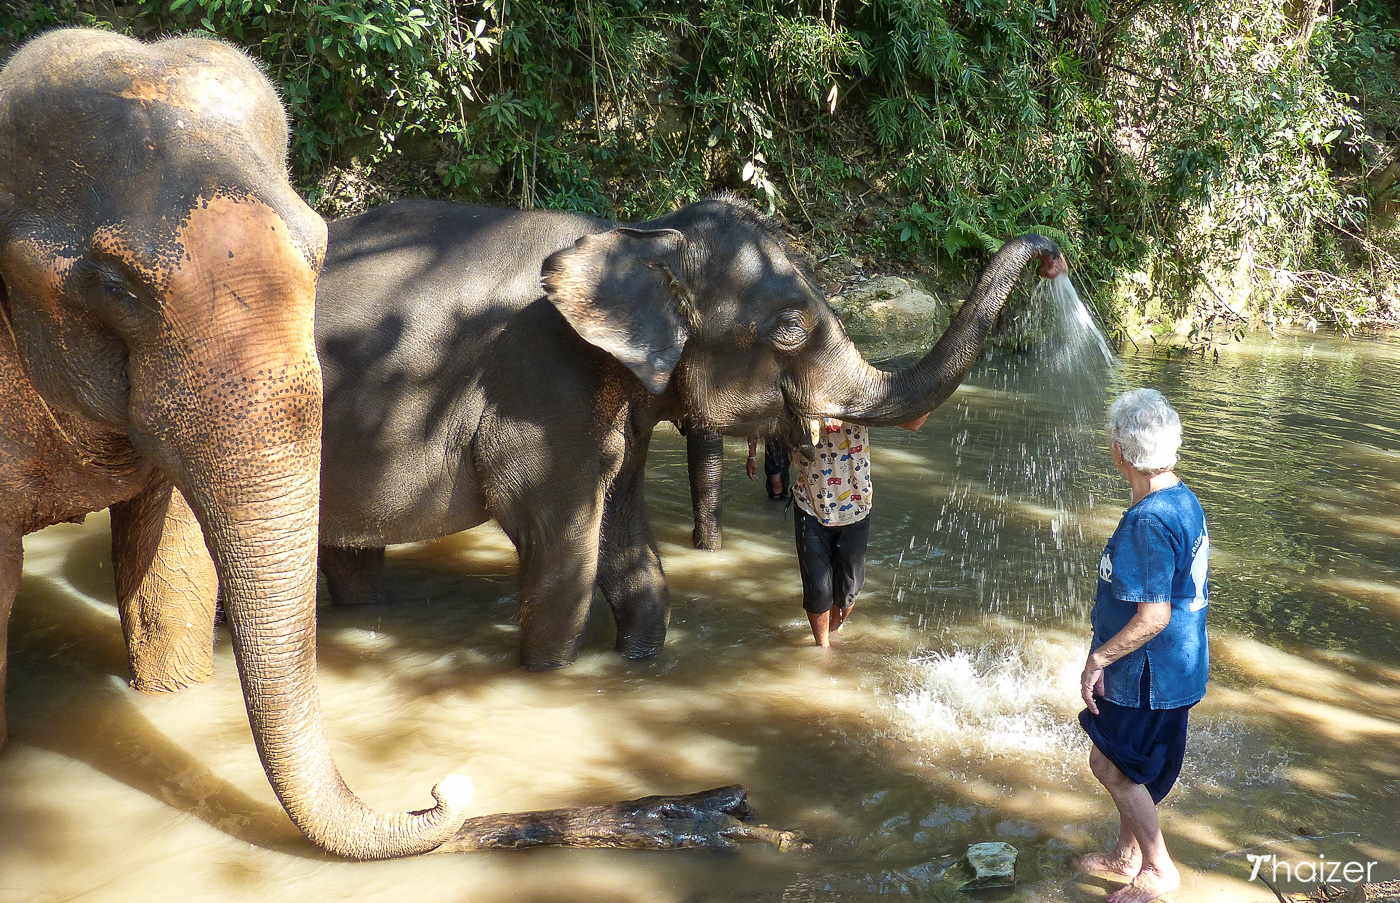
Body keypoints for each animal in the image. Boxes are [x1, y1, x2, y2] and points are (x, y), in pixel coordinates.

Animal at [309, 196, 1065, 670]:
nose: (1052, 252)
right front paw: (544, 676)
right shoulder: (541, 390)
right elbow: (561, 552)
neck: (641, 234)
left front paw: (639, 662)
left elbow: (626, 541)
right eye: (790, 330)